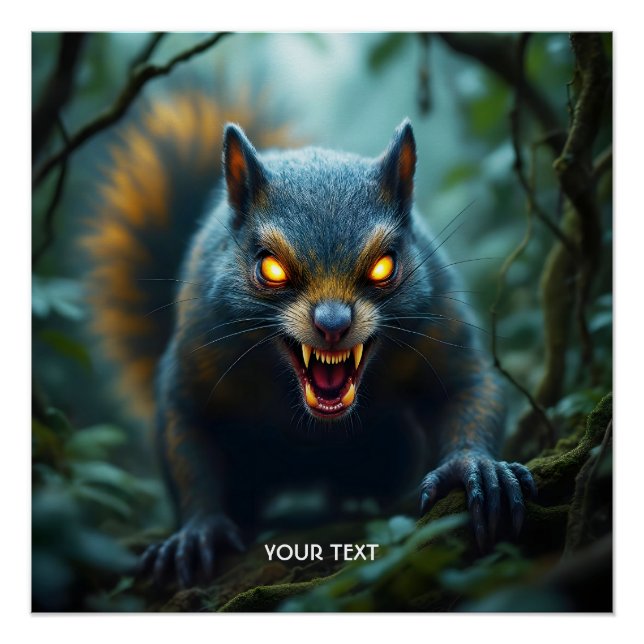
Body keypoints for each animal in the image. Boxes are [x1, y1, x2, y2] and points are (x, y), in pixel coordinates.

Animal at [82, 89, 536, 588]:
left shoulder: (437, 325)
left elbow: (467, 387)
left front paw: (475, 467)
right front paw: (198, 530)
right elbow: (188, 432)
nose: (333, 323)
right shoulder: (200, 349)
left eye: (386, 264)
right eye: (270, 267)